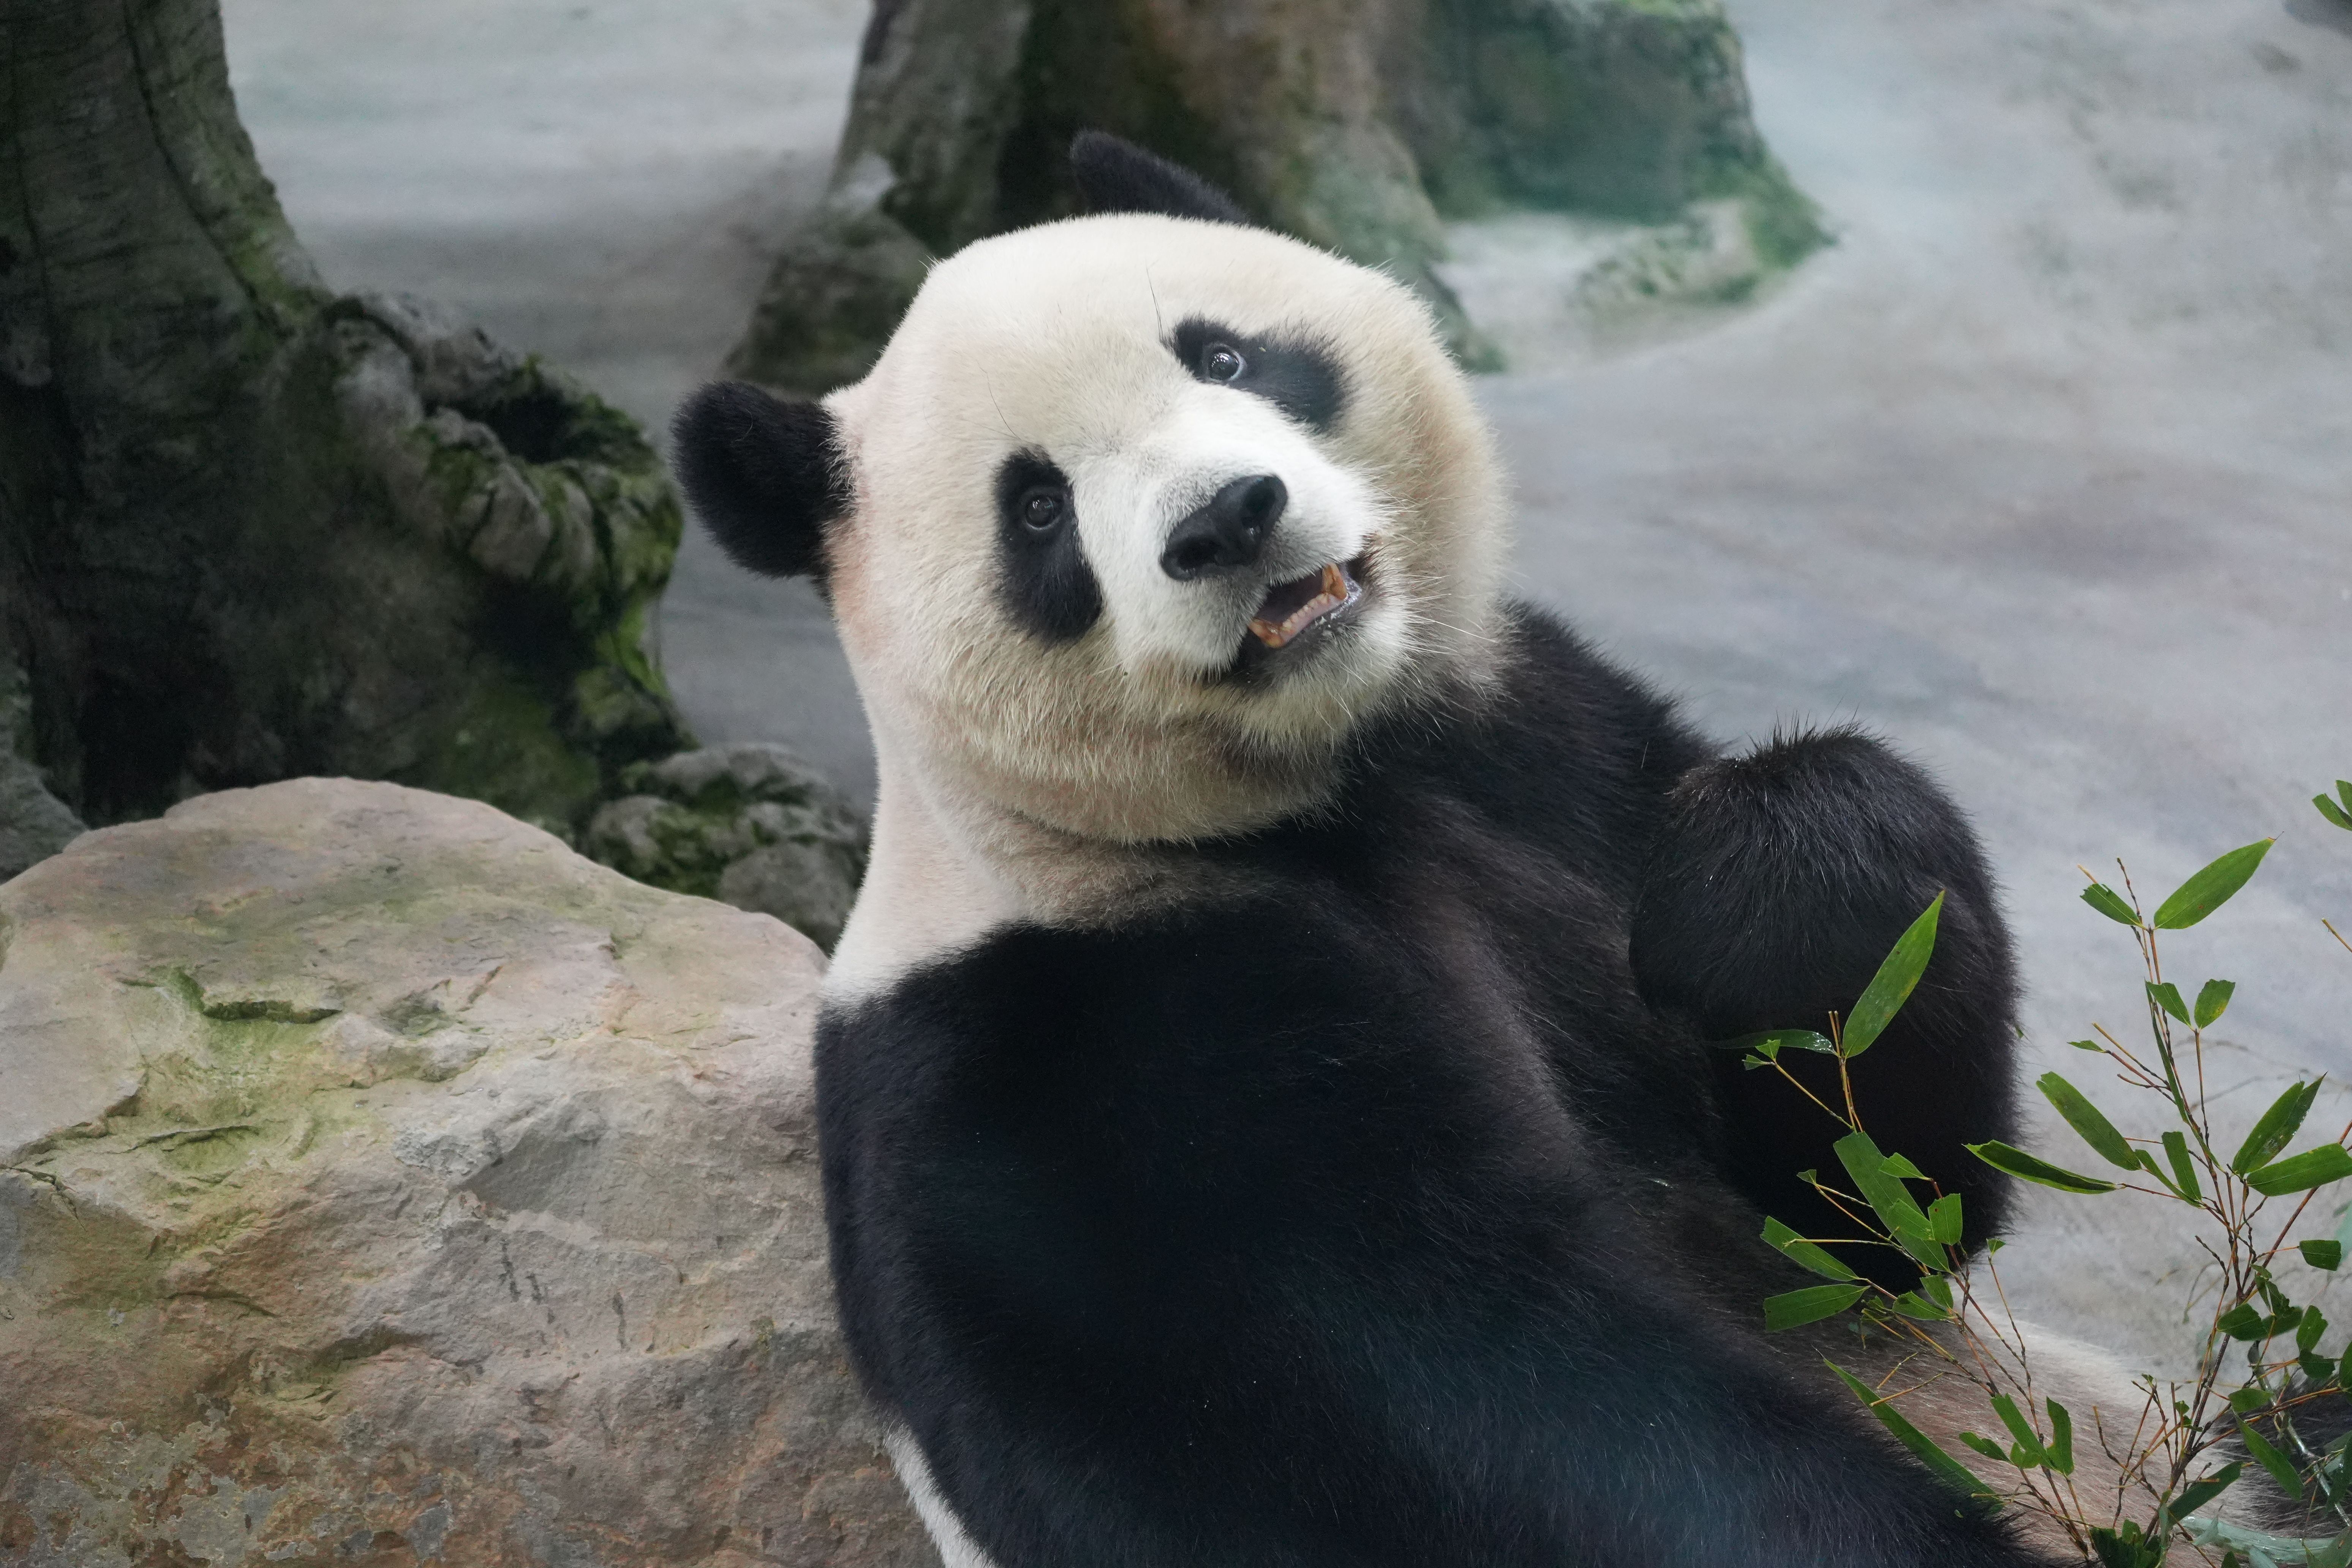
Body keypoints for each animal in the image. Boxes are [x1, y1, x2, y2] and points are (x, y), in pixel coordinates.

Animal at [674, 133, 2060, 1567]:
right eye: (1039, 507)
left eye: (1223, 354)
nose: (1228, 519)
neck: (1311, 784)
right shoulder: (1072, 1051)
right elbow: (1468, 1412)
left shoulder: (1535, 742)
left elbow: (1875, 1204)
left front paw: (1763, 897)